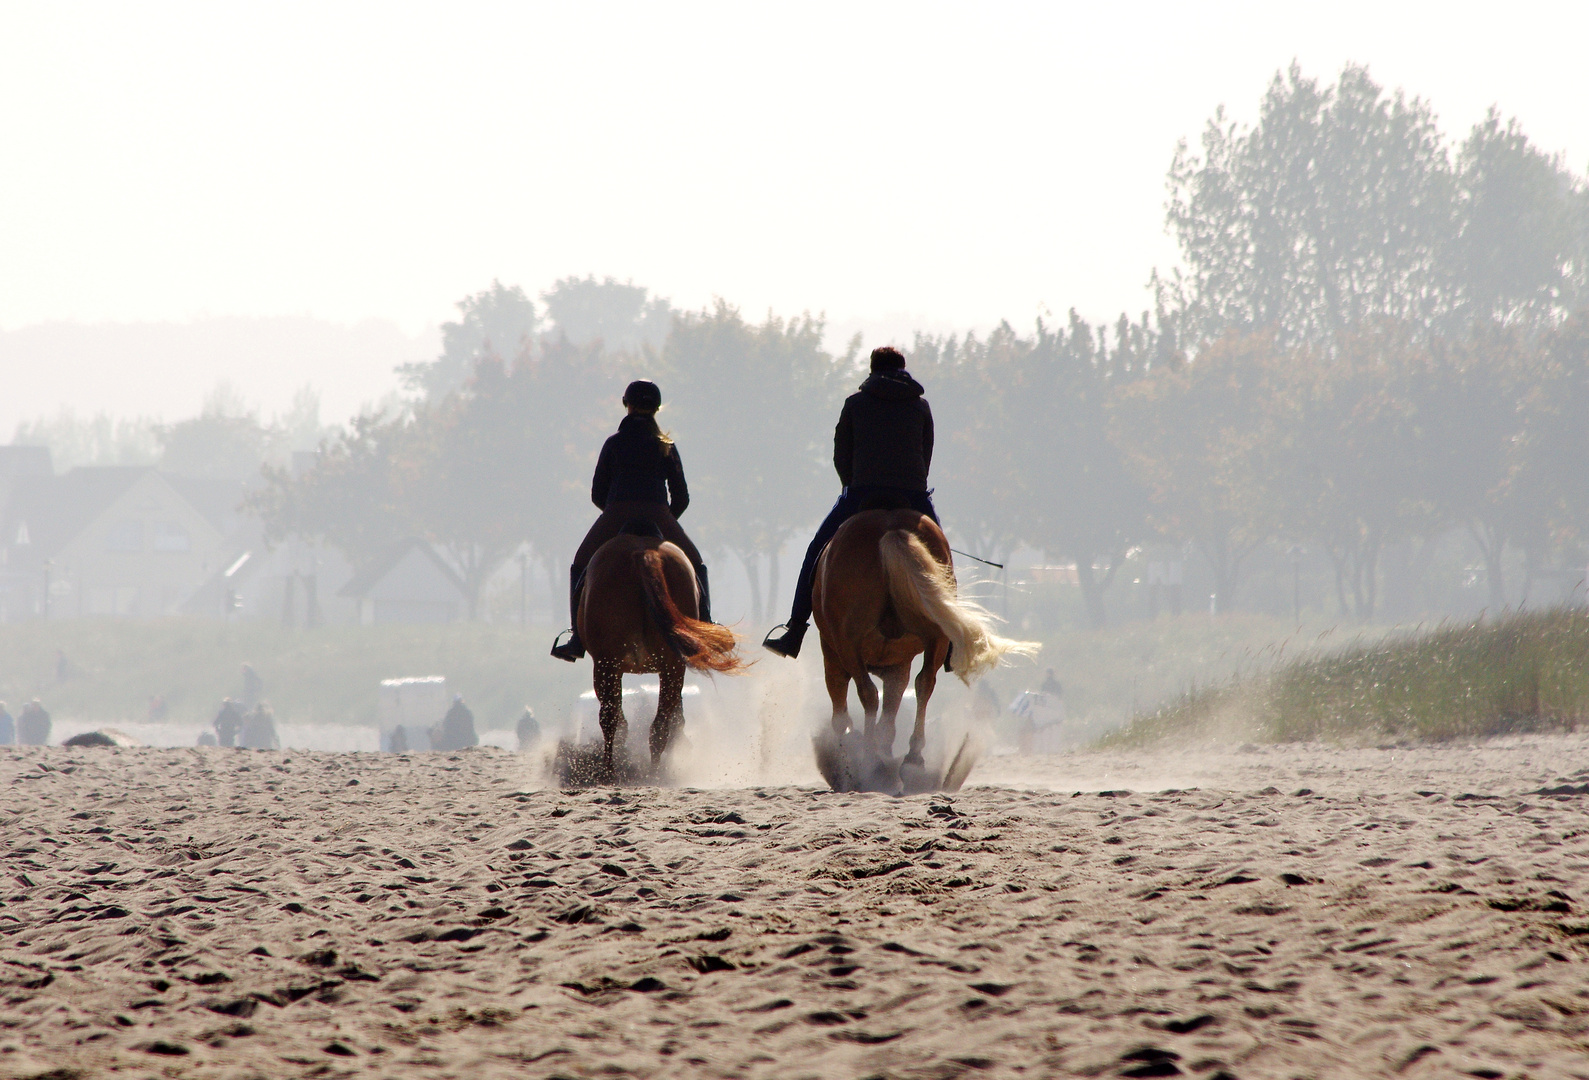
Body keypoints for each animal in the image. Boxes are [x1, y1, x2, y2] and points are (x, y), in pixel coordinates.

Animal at [578, 530, 743, 775]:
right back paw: (655, 772)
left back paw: (612, 771)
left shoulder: (607, 665)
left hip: (607, 665)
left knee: (613, 721)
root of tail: (645, 553)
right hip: (671, 667)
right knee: (659, 725)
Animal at [813, 505, 1036, 784]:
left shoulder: (835, 656)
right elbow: (890, 713)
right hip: (936, 637)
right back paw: (912, 760)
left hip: (848, 643)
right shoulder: (899, 666)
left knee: (868, 693)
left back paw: (870, 760)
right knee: (924, 684)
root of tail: (891, 527)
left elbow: (844, 713)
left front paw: (850, 754)